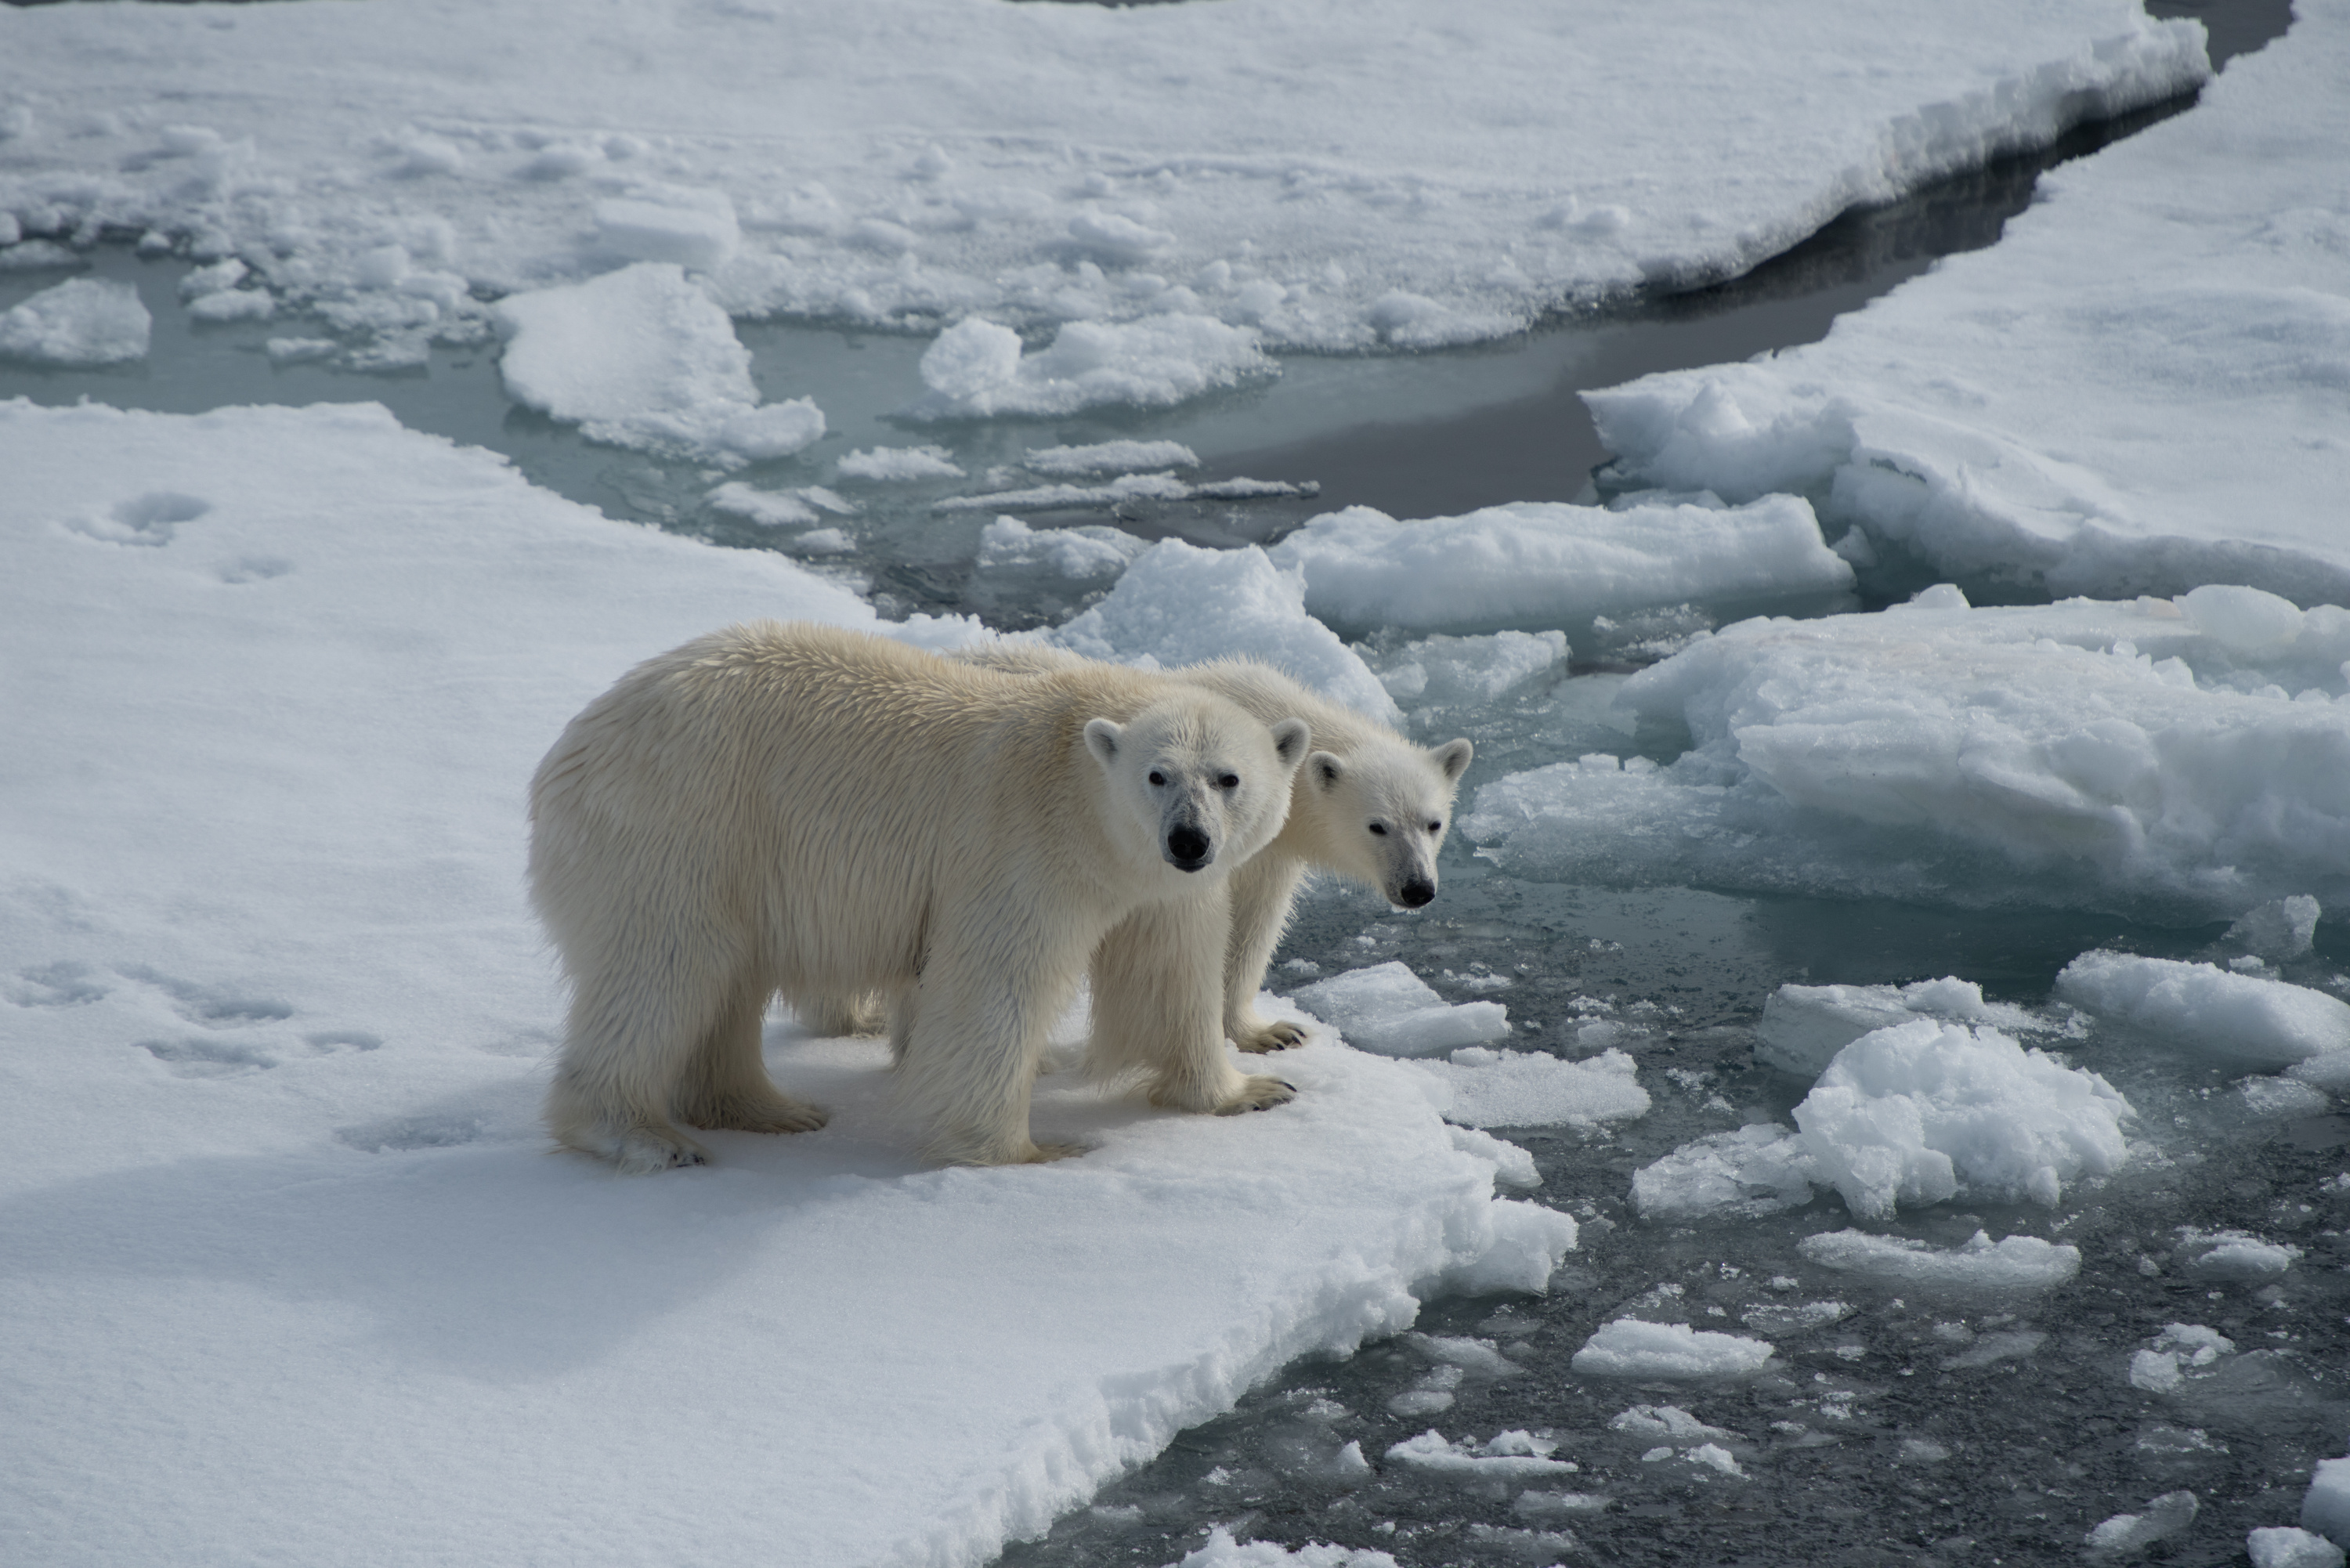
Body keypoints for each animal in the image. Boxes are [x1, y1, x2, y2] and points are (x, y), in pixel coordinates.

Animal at [524, 620, 1316, 1170]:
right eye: (1157, 775)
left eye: (1227, 777)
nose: (1189, 841)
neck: (1074, 780)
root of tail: (571, 749)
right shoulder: (1022, 847)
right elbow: (994, 986)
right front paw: (1029, 1151)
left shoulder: (1155, 890)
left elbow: (1170, 978)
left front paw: (1252, 1089)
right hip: (679, 828)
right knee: (664, 969)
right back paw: (643, 1134)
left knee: (723, 983)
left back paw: (768, 1109)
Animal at [808, 644, 1466, 1062]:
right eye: (1378, 826)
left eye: (1434, 823)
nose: (1418, 889)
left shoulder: (1267, 844)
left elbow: (1256, 924)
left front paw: (1266, 1032)